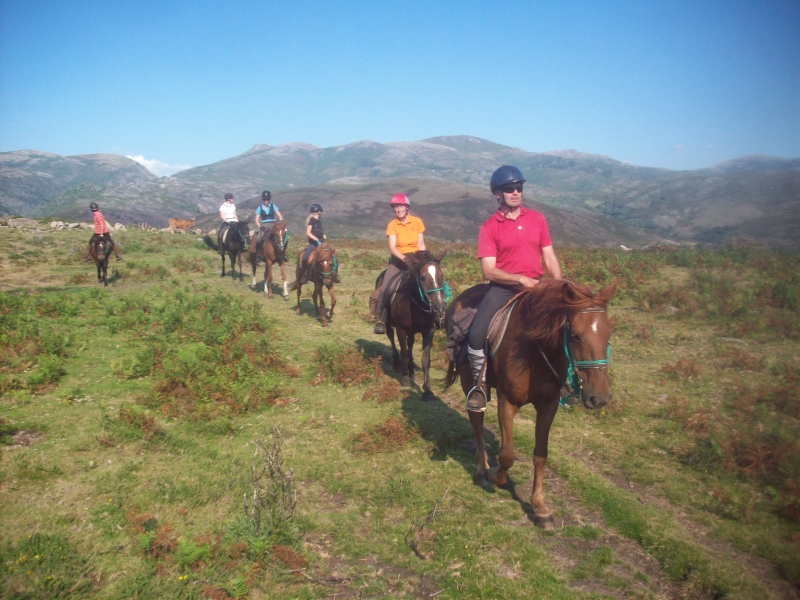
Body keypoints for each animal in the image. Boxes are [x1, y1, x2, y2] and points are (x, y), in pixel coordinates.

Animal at [374, 251, 446, 400]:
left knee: (411, 343)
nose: (439, 307)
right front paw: (405, 379)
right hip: (388, 323)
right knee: (391, 337)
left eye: (441, 275)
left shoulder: (428, 331)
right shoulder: (401, 329)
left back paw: (412, 369)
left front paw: (427, 390)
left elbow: (425, 360)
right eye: (423, 278)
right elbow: (404, 352)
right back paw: (397, 362)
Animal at [444, 278, 620, 528]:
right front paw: (495, 476)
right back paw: (482, 469)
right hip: (469, 378)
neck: (534, 350)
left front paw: (540, 508)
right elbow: (507, 455)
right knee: (476, 419)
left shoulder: (548, 405)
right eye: (575, 335)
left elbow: (540, 454)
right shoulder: (507, 402)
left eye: (608, 332)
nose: (599, 398)